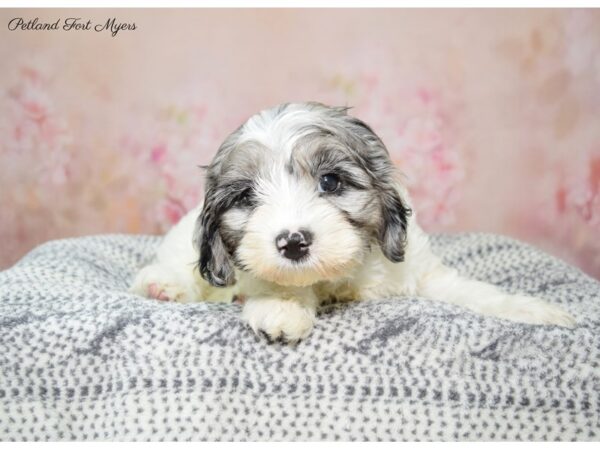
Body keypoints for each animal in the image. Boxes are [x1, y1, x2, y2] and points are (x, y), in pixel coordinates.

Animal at [130, 101, 572, 342]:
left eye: (330, 181)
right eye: (245, 197)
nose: (293, 242)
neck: (342, 277)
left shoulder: (420, 271)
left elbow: (471, 291)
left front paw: (532, 310)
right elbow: (280, 282)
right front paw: (281, 308)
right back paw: (162, 285)